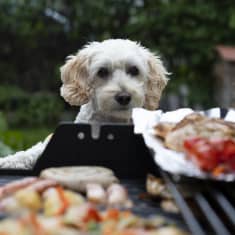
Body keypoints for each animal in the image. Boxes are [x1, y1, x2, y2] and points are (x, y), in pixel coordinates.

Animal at [0, 39, 169, 169]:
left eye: (134, 70)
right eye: (102, 72)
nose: (123, 97)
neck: (110, 121)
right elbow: (31, 152)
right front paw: (8, 161)